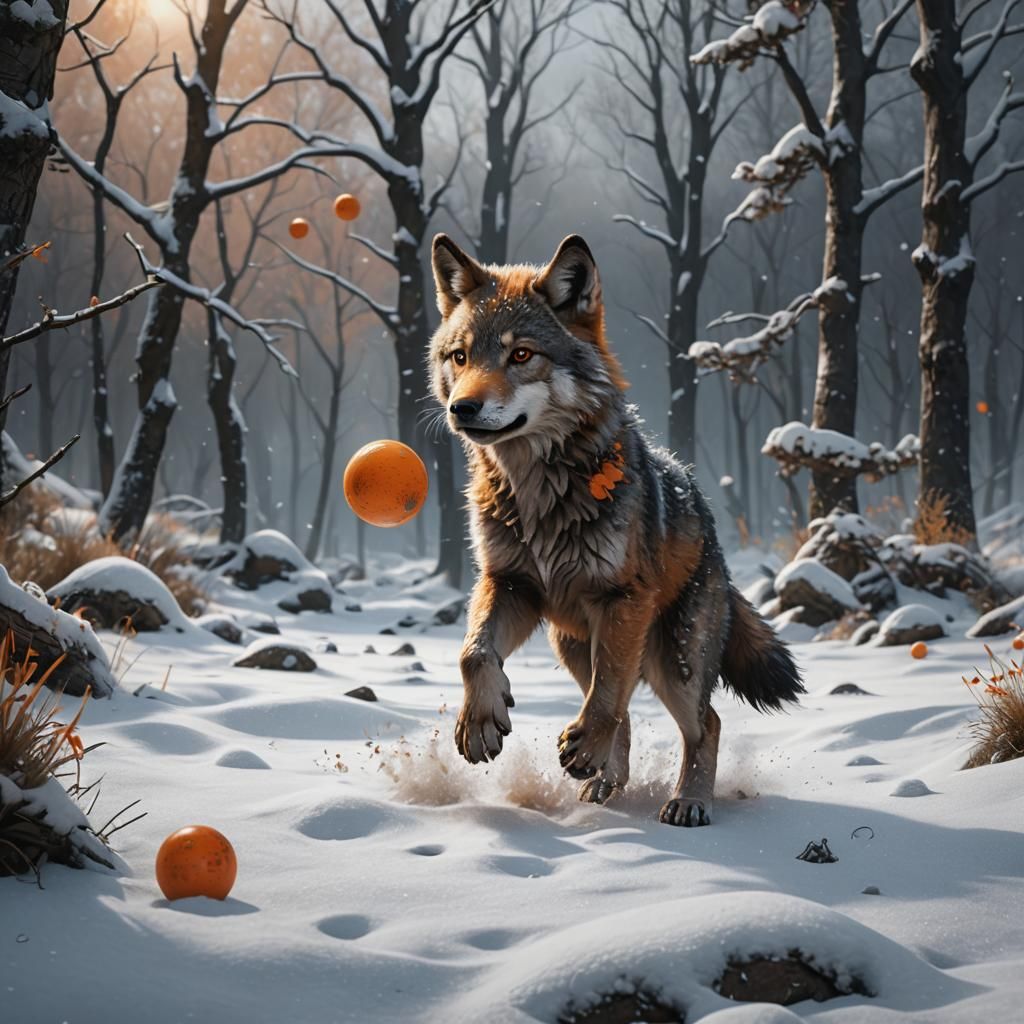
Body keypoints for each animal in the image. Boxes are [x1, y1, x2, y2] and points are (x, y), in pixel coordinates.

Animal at [428, 233, 804, 826]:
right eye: (460, 356)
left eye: (521, 355)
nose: (461, 407)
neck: (539, 492)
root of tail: (714, 533)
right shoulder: (508, 584)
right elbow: (475, 653)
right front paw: (480, 722)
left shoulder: (621, 597)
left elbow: (607, 696)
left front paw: (584, 743)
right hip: (571, 643)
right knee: (624, 705)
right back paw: (605, 779)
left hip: (674, 661)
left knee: (702, 721)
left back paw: (687, 801)